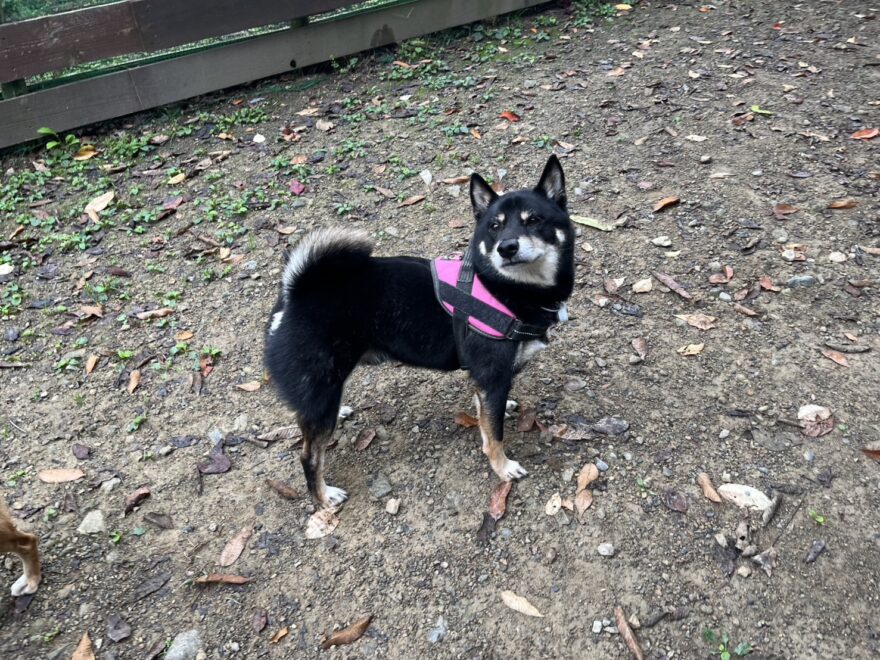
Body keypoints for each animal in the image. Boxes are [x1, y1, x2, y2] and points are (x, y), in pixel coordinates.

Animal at [264, 155, 575, 508]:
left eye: (533, 220)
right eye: (494, 227)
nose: (506, 248)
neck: (505, 288)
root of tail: (296, 291)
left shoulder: (488, 378)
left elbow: (485, 413)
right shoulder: (492, 374)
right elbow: (493, 434)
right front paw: (503, 466)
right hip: (320, 386)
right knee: (309, 456)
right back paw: (324, 495)